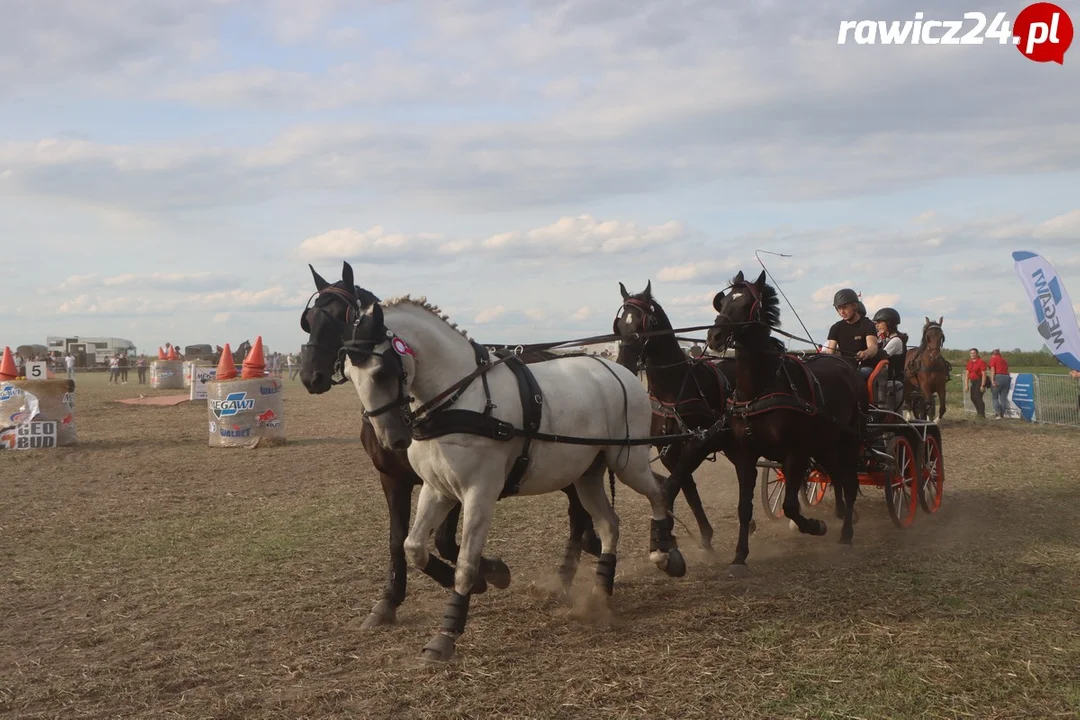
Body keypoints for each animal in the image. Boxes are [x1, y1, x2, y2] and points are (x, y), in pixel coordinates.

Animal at [298, 262, 600, 626]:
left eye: (341, 316)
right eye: (309, 319)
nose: (310, 376)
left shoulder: (455, 481)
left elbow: (443, 540)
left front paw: (488, 572)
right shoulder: (393, 479)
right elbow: (397, 540)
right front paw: (389, 601)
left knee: (578, 511)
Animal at [613, 280, 738, 552]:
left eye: (644, 324)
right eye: (620, 325)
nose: (624, 364)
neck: (676, 388)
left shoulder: (699, 443)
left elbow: (673, 485)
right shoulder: (668, 449)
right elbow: (685, 487)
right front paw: (704, 537)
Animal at [695, 273, 864, 578]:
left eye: (747, 304)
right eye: (722, 302)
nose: (714, 336)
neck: (760, 389)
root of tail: (845, 365)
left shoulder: (795, 454)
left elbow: (790, 505)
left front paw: (815, 526)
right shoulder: (745, 457)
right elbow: (744, 508)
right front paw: (740, 557)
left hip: (848, 441)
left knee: (849, 481)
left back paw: (846, 535)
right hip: (824, 444)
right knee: (836, 476)